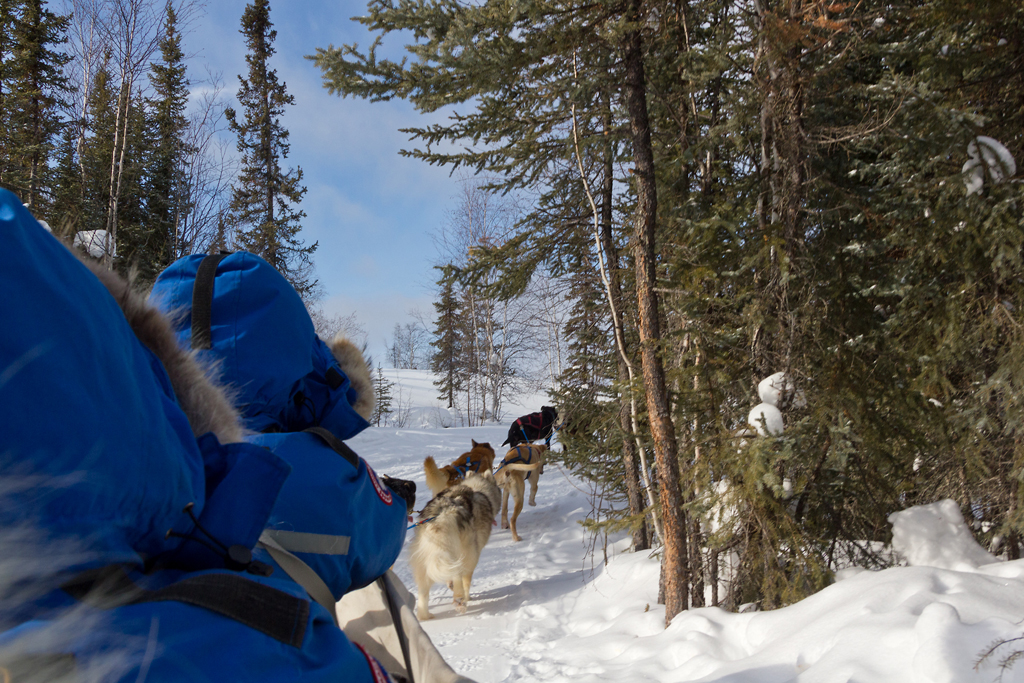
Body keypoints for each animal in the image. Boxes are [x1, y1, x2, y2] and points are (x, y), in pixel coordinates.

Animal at [409, 471, 501, 618]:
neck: (478, 489)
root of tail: (443, 512)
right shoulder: (474, 555)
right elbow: (466, 581)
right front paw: (467, 597)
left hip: (424, 559)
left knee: (424, 590)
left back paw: (424, 616)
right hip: (467, 553)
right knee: (458, 574)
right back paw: (460, 599)